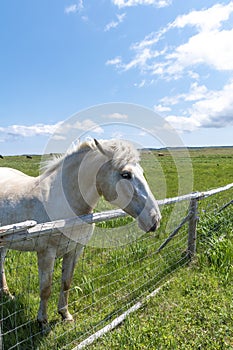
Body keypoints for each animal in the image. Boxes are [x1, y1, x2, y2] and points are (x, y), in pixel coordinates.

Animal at [0, 139, 161, 326]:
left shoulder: (75, 250)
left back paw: (7, 293)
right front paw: (43, 322)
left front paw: (65, 315)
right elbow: (46, 289)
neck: (63, 203)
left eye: (141, 172)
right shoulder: (46, 253)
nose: (155, 219)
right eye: (126, 174)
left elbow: (66, 283)